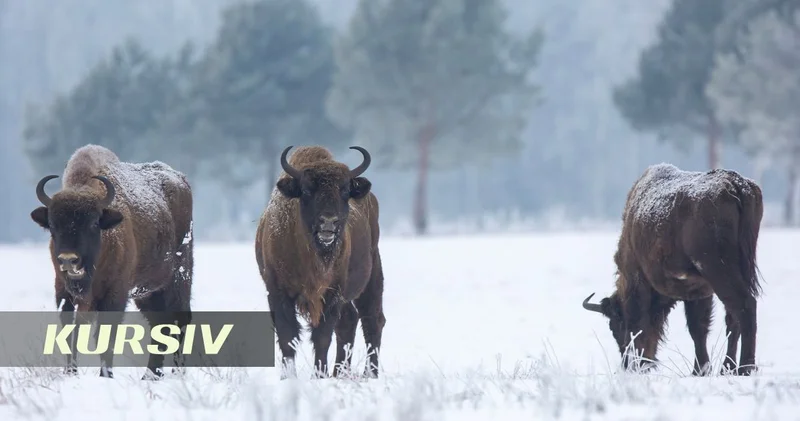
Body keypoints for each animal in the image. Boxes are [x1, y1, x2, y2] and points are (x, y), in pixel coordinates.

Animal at [30, 144, 194, 380]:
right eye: (52, 225)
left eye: (92, 224)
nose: (69, 260)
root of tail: (180, 179)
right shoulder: (64, 293)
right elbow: (70, 333)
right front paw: (71, 373)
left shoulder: (115, 294)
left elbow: (105, 335)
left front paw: (105, 375)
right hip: (148, 292)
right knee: (159, 324)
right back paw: (150, 375)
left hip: (179, 277)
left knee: (180, 320)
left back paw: (177, 372)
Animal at [255, 145, 386, 379]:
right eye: (307, 191)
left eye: (345, 191)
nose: (328, 222)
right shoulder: (277, 292)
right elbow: (288, 336)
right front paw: (288, 377)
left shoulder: (333, 292)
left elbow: (322, 336)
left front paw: (319, 375)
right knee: (350, 320)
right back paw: (340, 373)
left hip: (372, 276)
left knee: (372, 319)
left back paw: (369, 374)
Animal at [582, 163, 763, 376]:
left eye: (615, 326)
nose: (629, 365)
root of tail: (736, 184)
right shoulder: (699, 290)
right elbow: (699, 328)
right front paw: (700, 369)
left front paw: (697, 370)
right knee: (733, 316)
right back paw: (728, 367)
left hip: (719, 271)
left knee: (745, 306)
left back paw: (744, 368)